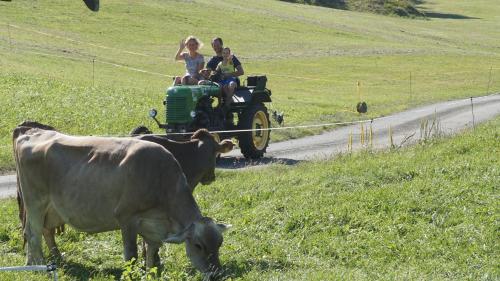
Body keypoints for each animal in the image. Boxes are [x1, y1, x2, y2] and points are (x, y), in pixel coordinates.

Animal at [13, 126, 229, 274]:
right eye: (198, 245)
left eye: (220, 244)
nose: (217, 275)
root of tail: (32, 132)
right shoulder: (126, 218)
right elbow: (131, 255)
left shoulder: (154, 229)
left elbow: (151, 254)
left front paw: (151, 272)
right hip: (35, 202)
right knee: (32, 233)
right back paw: (37, 266)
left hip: (53, 209)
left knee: (46, 231)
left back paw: (52, 260)